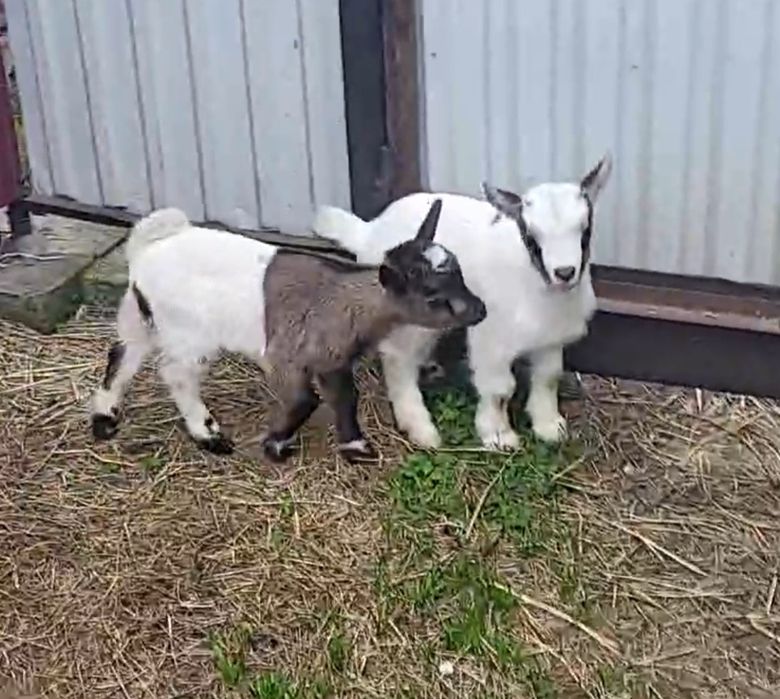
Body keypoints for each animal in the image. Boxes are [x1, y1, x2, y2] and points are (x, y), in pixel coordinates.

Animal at [89, 200, 486, 463]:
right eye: (432, 295)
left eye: (460, 273)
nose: (480, 310)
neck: (341, 300)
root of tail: (147, 249)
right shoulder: (286, 356)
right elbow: (304, 400)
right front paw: (276, 445)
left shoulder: (332, 359)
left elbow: (345, 397)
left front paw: (356, 447)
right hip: (188, 331)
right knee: (176, 375)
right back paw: (208, 434)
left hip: (140, 314)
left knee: (122, 354)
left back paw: (104, 418)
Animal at [313, 154, 612, 450]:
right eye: (530, 237)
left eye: (586, 230)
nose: (565, 272)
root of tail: (368, 231)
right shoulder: (491, 338)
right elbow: (500, 389)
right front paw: (498, 435)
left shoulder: (550, 338)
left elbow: (548, 377)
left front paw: (550, 426)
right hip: (412, 317)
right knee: (398, 359)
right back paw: (420, 428)